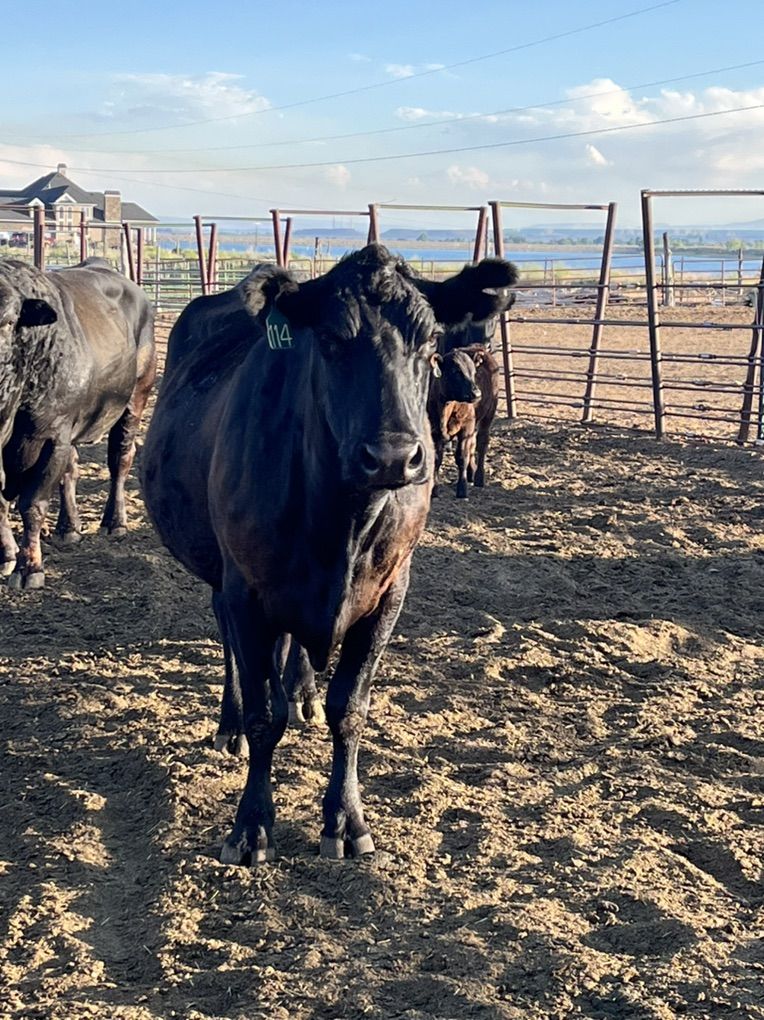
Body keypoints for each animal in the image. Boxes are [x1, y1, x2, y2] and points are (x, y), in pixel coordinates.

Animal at [0, 257, 156, 588]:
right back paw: (68, 527)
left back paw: (114, 522)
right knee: (71, 468)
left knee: (120, 459)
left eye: (7, 321)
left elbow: (32, 504)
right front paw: (6, 555)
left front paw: (30, 568)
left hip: (136, 397)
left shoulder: (52, 437)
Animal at [428, 344, 501, 498]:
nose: (477, 393)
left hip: (488, 415)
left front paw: (462, 488)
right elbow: (437, 459)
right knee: (472, 444)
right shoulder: (434, 432)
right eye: (456, 372)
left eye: (473, 372)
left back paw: (479, 477)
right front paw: (434, 490)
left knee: (481, 443)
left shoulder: (465, 428)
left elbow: (462, 457)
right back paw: (471, 472)